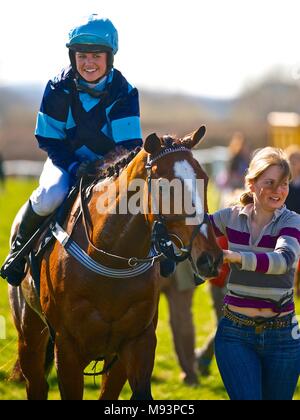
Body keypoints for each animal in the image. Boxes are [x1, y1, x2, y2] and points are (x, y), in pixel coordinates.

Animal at [8, 125, 223, 400]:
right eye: (164, 185)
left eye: (203, 178)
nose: (210, 257)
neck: (112, 259)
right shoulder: (67, 348)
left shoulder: (136, 343)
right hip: (30, 336)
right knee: (36, 383)